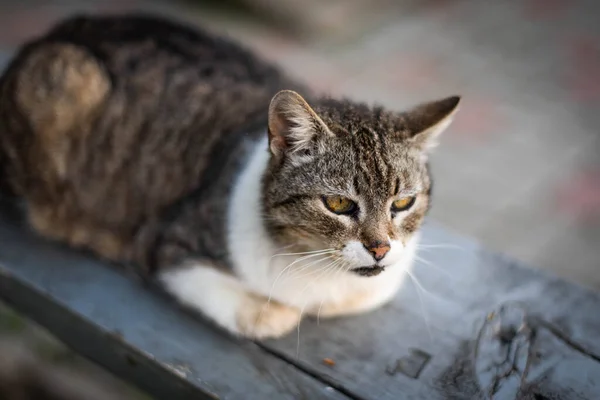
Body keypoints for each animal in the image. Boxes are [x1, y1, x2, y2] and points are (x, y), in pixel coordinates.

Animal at [0, 13, 462, 338]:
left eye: (403, 203)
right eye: (338, 204)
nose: (380, 249)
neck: (322, 272)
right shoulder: (168, 245)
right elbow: (259, 314)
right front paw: (279, 310)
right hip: (67, 78)